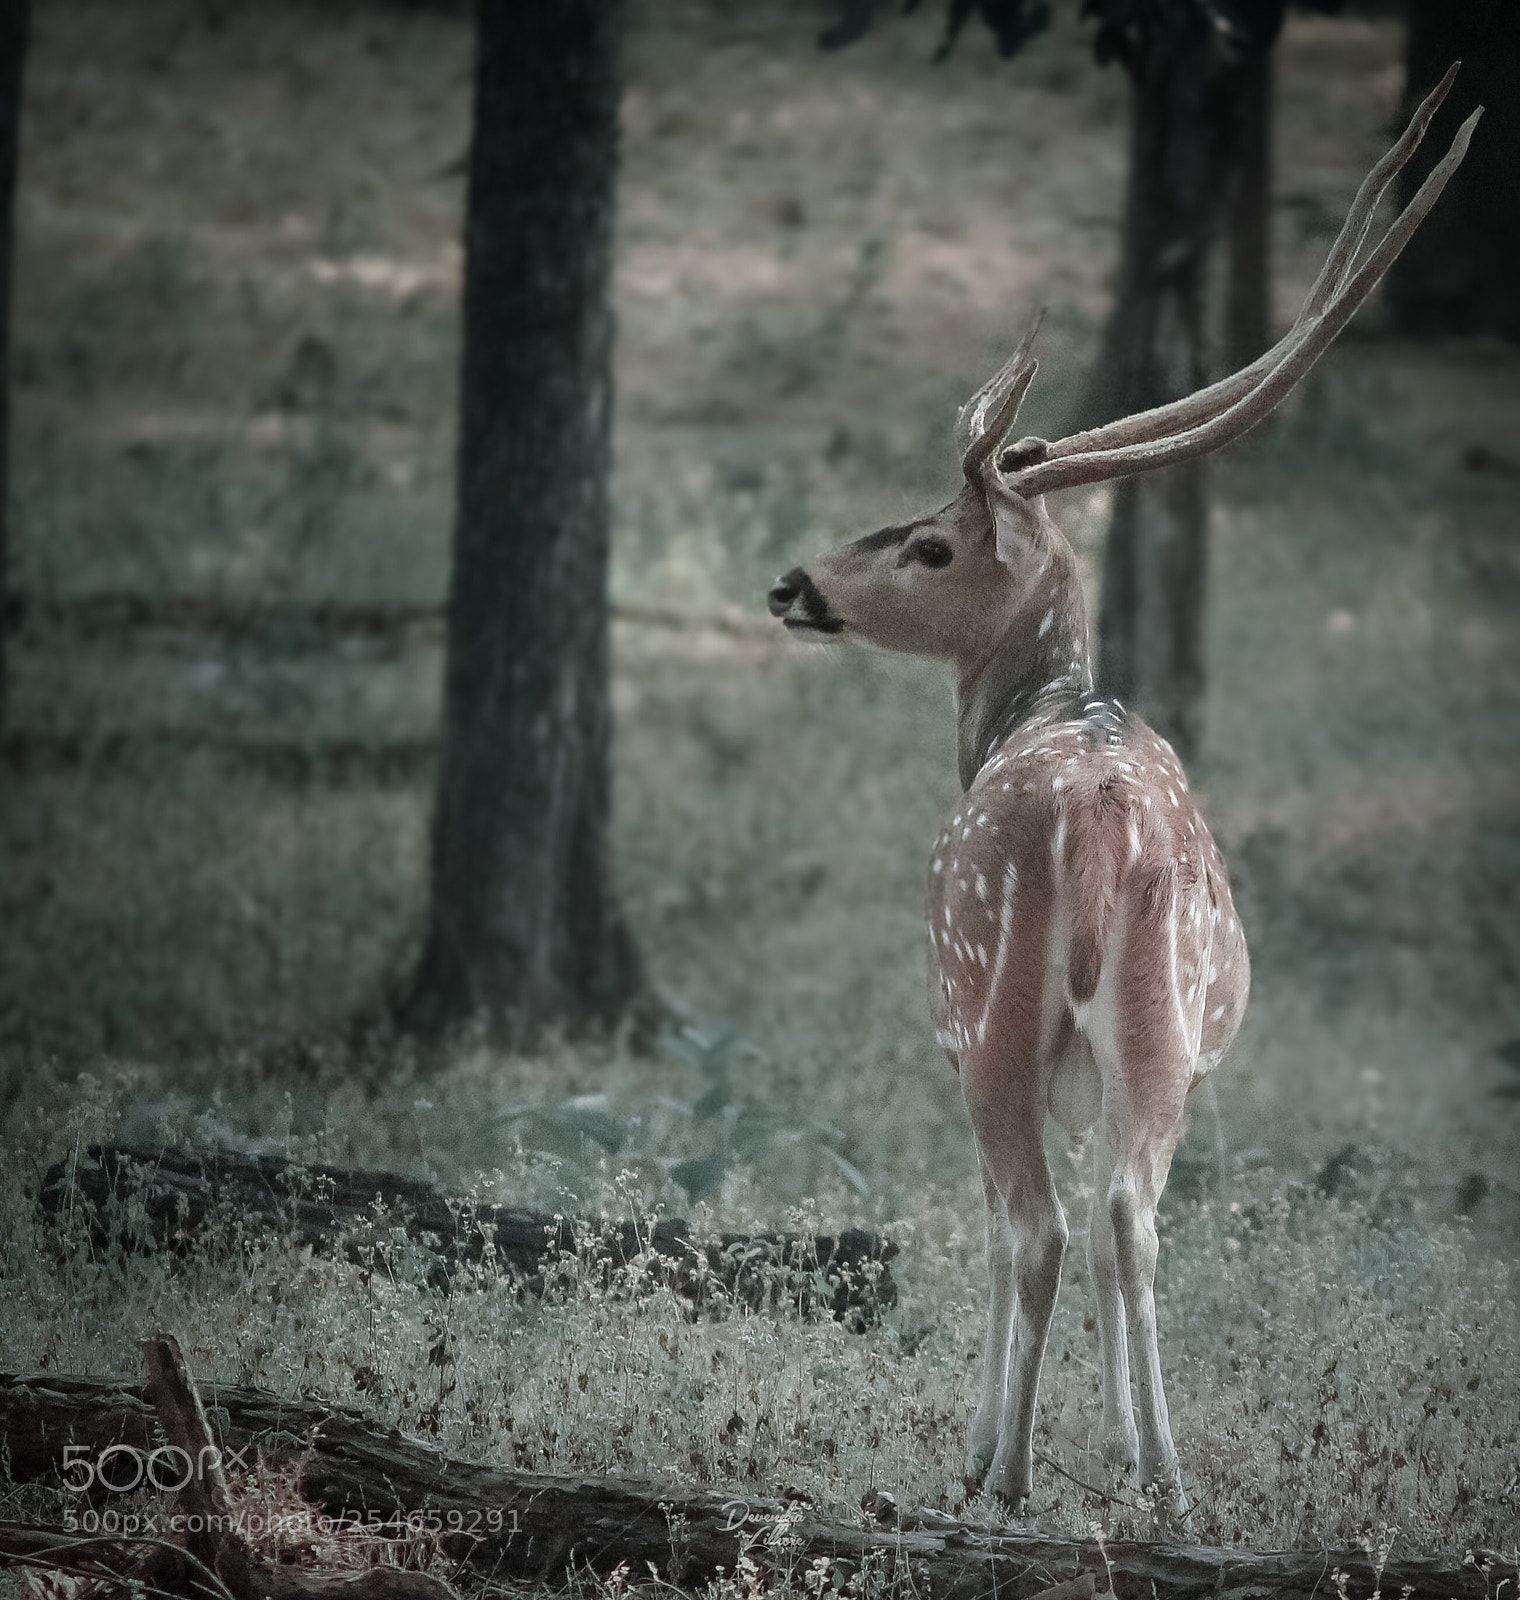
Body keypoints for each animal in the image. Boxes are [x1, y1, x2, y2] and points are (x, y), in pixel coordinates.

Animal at [766, 70, 1478, 1520]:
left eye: (929, 542)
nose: (793, 583)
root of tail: (1091, 826)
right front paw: (1120, 1448)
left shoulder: (950, 1030)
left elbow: (993, 1233)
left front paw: (982, 1445)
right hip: (1162, 1027)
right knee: (1127, 1220)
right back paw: (1165, 1476)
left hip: (990, 1008)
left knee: (1034, 1224)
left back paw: (1003, 1473)